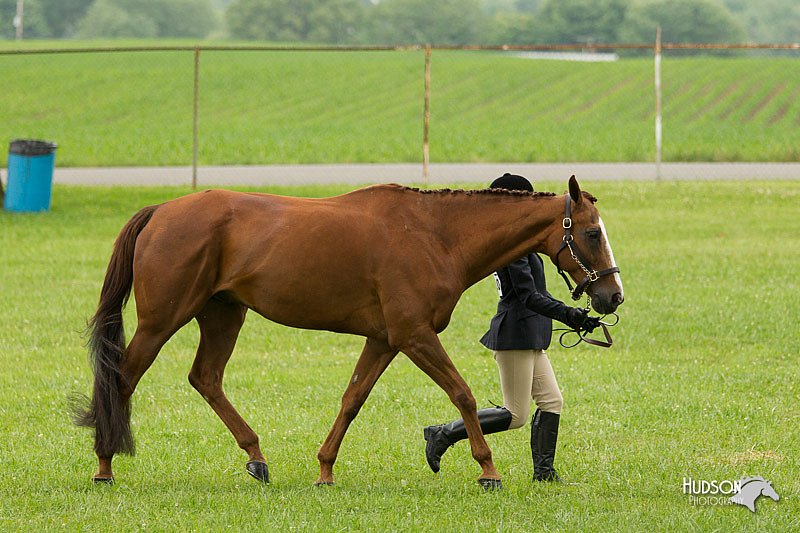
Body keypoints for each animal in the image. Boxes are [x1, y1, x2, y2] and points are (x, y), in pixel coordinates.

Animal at [73, 177, 624, 488]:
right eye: (591, 232)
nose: (612, 297)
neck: (435, 234)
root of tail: (161, 211)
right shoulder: (414, 336)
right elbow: (463, 395)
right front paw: (487, 470)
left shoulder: (384, 340)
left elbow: (352, 399)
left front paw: (324, 470)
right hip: (162, 320)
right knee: (123, 378)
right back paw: (104, 465)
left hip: (223, 314)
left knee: (205, 378)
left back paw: (257, 459)